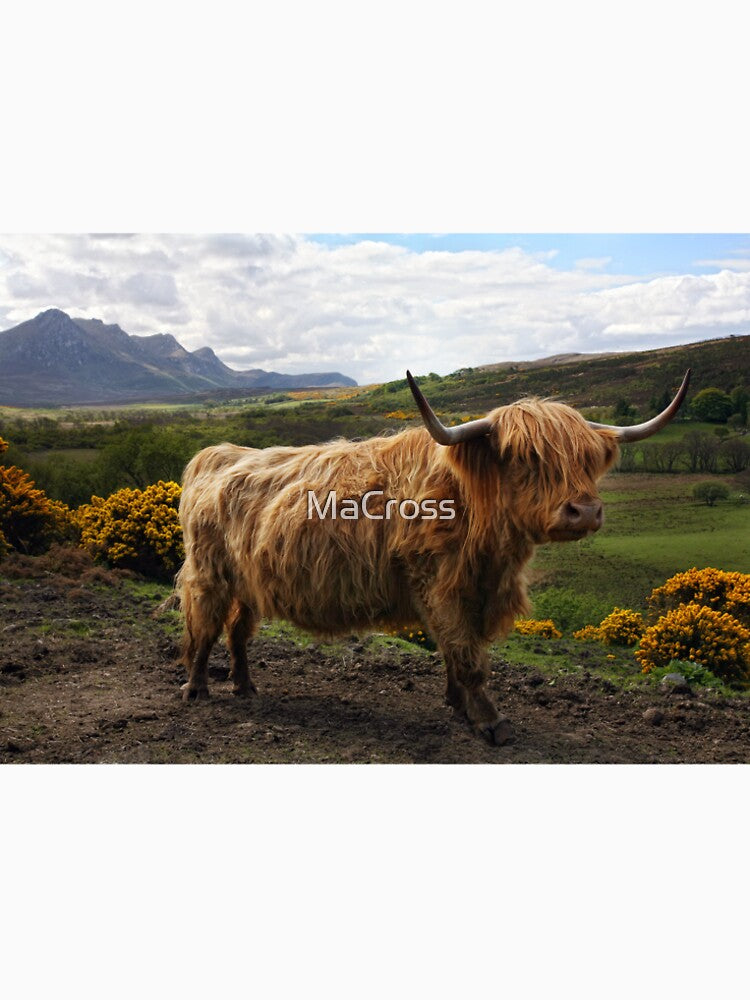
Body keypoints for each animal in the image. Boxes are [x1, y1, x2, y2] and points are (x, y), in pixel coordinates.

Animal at [176, 369, 691, 745]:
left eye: (586, 459)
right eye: (527, 458)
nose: (584, 511)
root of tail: (218, 453)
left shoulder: (472, 589)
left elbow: (457, 649)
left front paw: (458, 705)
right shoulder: (438, 584)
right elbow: (466, 654)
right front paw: (489, 720)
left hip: (247, 581)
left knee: (238, 631)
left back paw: (245, 686)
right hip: (209, 573)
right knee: (205, 629)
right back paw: (197, 689)